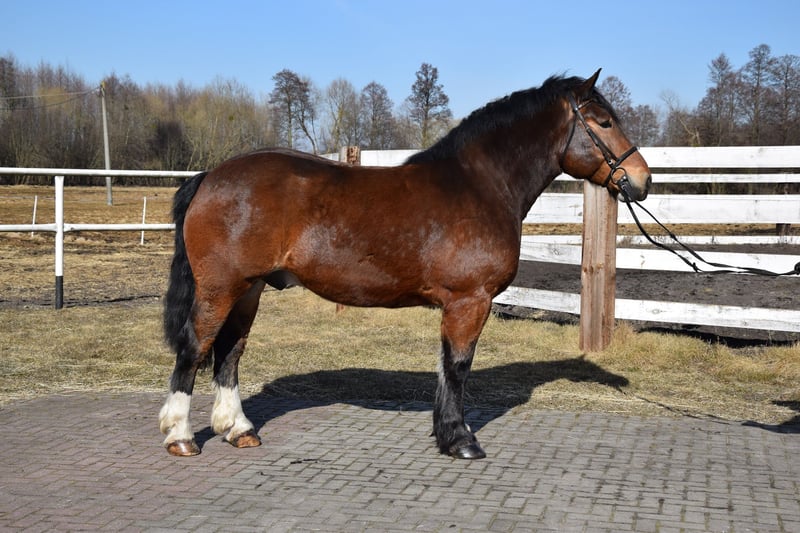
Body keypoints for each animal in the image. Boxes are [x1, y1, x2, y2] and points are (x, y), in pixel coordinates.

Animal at [158, 69, 651, 460]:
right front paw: (460, 440)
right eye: (604, 122)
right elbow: (458, 366)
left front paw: (446, 433)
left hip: (250, 289)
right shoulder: (469, 301)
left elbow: (446, 366)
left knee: (229, 351)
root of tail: (212, 176)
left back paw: (238, 430)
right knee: (195, 348)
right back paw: (181, 436)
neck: (480, 185)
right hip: (221, 288)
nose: (642, 180)